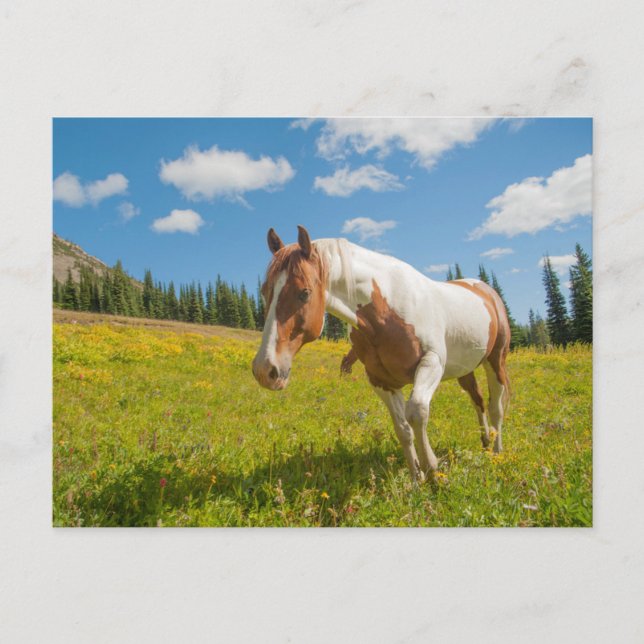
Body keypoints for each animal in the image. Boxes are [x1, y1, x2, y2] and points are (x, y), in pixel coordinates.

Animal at [252, 225, 511, 482]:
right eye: (264, 291)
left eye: (304, 293)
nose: (265, 370)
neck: (385, 313)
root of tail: (487, 291)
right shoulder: (380, 380)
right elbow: (403, 428)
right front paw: (416, 478)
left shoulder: (432, 363)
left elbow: (417, 412)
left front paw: (433, 470)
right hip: (464, 369)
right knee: (478, 400)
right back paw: (485, 442)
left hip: (495, 361)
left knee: (495, 406)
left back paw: (497, 453)